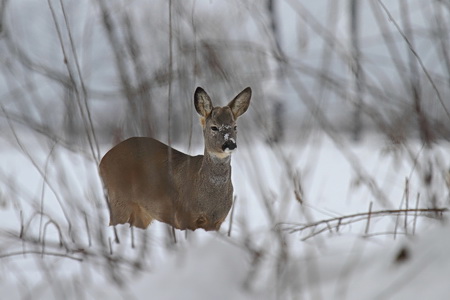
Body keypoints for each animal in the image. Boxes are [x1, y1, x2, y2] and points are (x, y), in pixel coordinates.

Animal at [99, 86, 251, 232]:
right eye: (214, 127)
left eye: (235, 126)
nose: (230, 144)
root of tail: (102, 161)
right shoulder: (183, 216)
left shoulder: (217, 221)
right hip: (119, 200)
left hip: (142, 214)